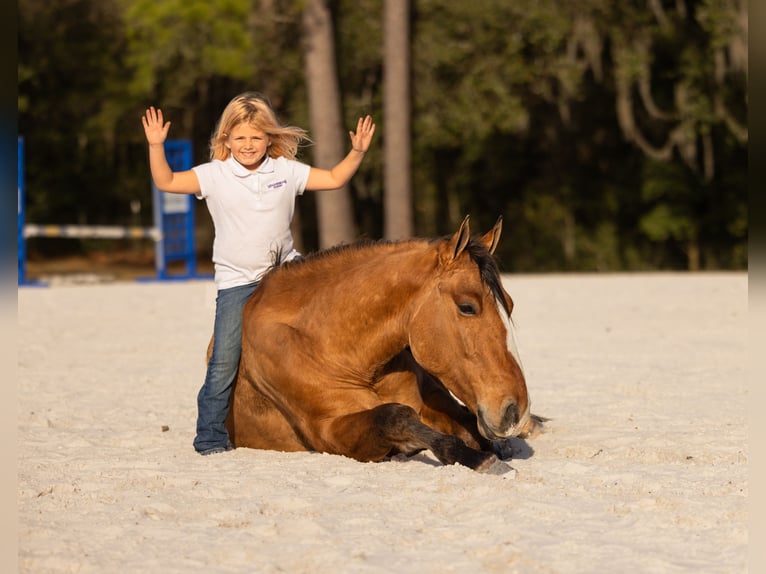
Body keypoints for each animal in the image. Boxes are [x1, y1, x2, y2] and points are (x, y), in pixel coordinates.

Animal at [224, 216, 540, 474]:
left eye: (509, 304)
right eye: (467, 307)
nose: (515, 411)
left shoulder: (434, 400)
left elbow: (467, 425)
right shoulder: (328, 431)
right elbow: (395, 416)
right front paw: (474, 458)